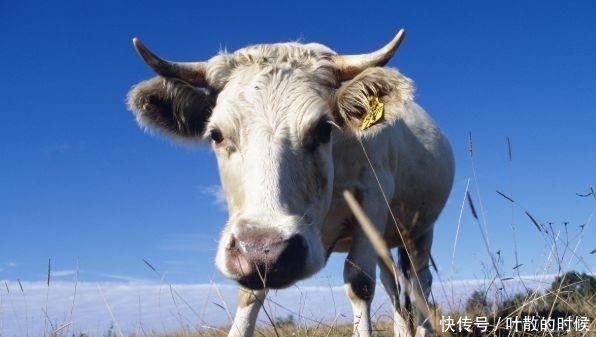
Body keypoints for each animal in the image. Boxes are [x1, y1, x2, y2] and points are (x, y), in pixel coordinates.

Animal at [125, 29, 452, 336]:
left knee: (420, 283)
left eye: (323, 128)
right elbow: (250, 293)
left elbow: (359, 282)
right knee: (393, 284)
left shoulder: (372, 198)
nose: (267, 254)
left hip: (418, 232)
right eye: (216, 134)